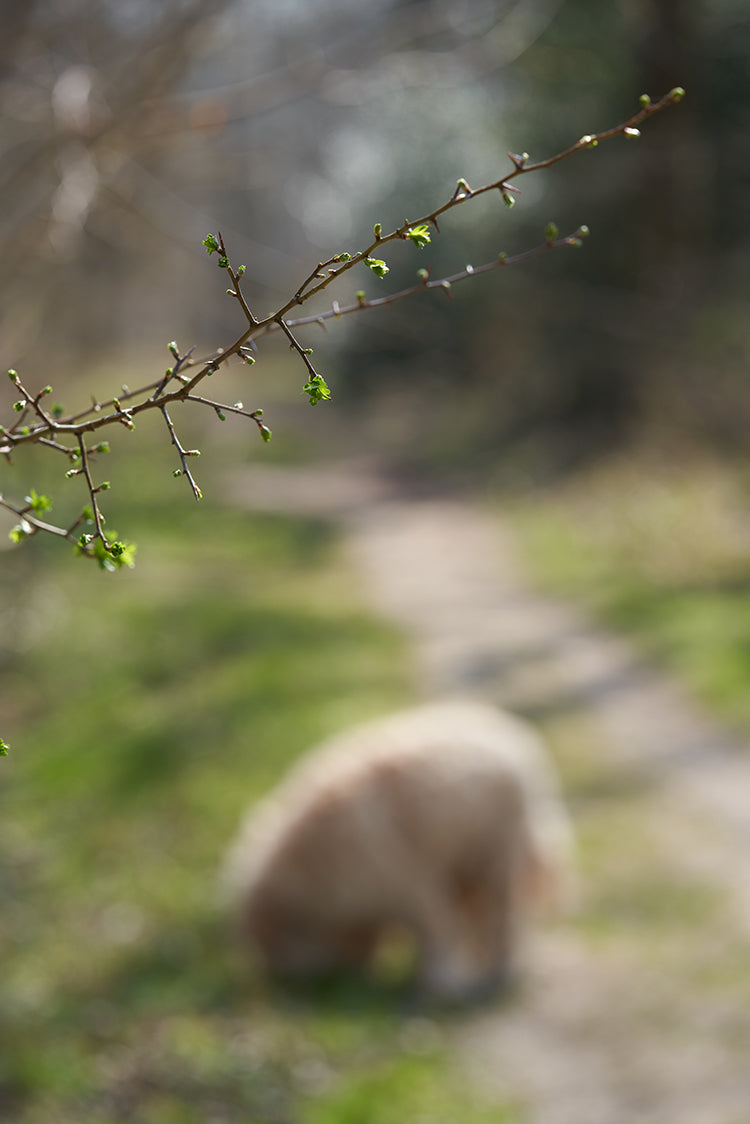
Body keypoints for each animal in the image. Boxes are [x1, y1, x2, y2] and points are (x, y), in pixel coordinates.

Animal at [222, 701, 575, 1002]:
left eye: (285, 955)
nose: (287, 981)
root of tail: (516, 734)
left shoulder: (402, 883)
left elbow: (432, 931)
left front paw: (439, 984)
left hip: (496, 854)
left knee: (502, 914)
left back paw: (499, 970)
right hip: (463, 858)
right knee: (476, 911)